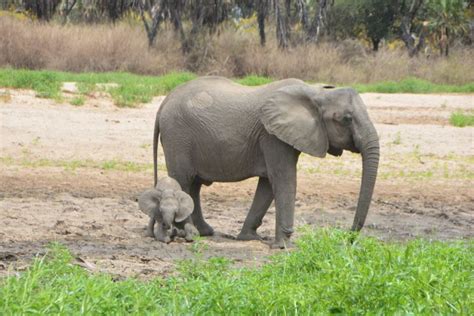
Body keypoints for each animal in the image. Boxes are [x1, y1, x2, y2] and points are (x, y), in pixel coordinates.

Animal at [154, 76, 380, 247]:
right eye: (346, 119)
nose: (348, 238)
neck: (315, 92)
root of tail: (164, 102)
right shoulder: (272, 136)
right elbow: (283, 179)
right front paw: (284, 246)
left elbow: (268, 184)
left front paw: (250, 238)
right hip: (177, 136)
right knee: (183, 180)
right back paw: (189, 235)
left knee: (195, 184)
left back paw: (205, 232)